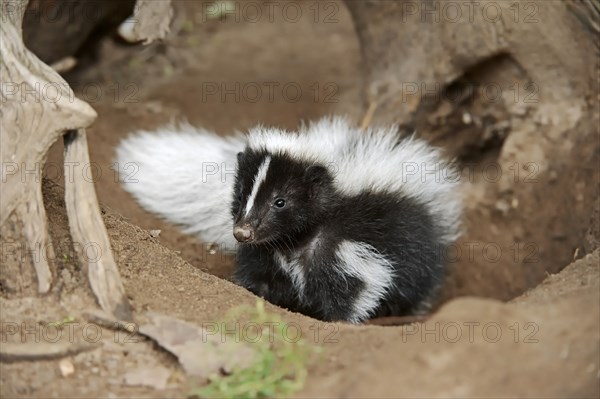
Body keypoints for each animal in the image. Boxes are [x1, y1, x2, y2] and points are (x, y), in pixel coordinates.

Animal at [118, 117, 464, 324]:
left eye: (280, 201)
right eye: (241, 193)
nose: (242, 232)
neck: (293, 243)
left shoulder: (347, 248)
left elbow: (355, 288)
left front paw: (339, 321)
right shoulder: (264, 253)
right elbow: (257, 280)